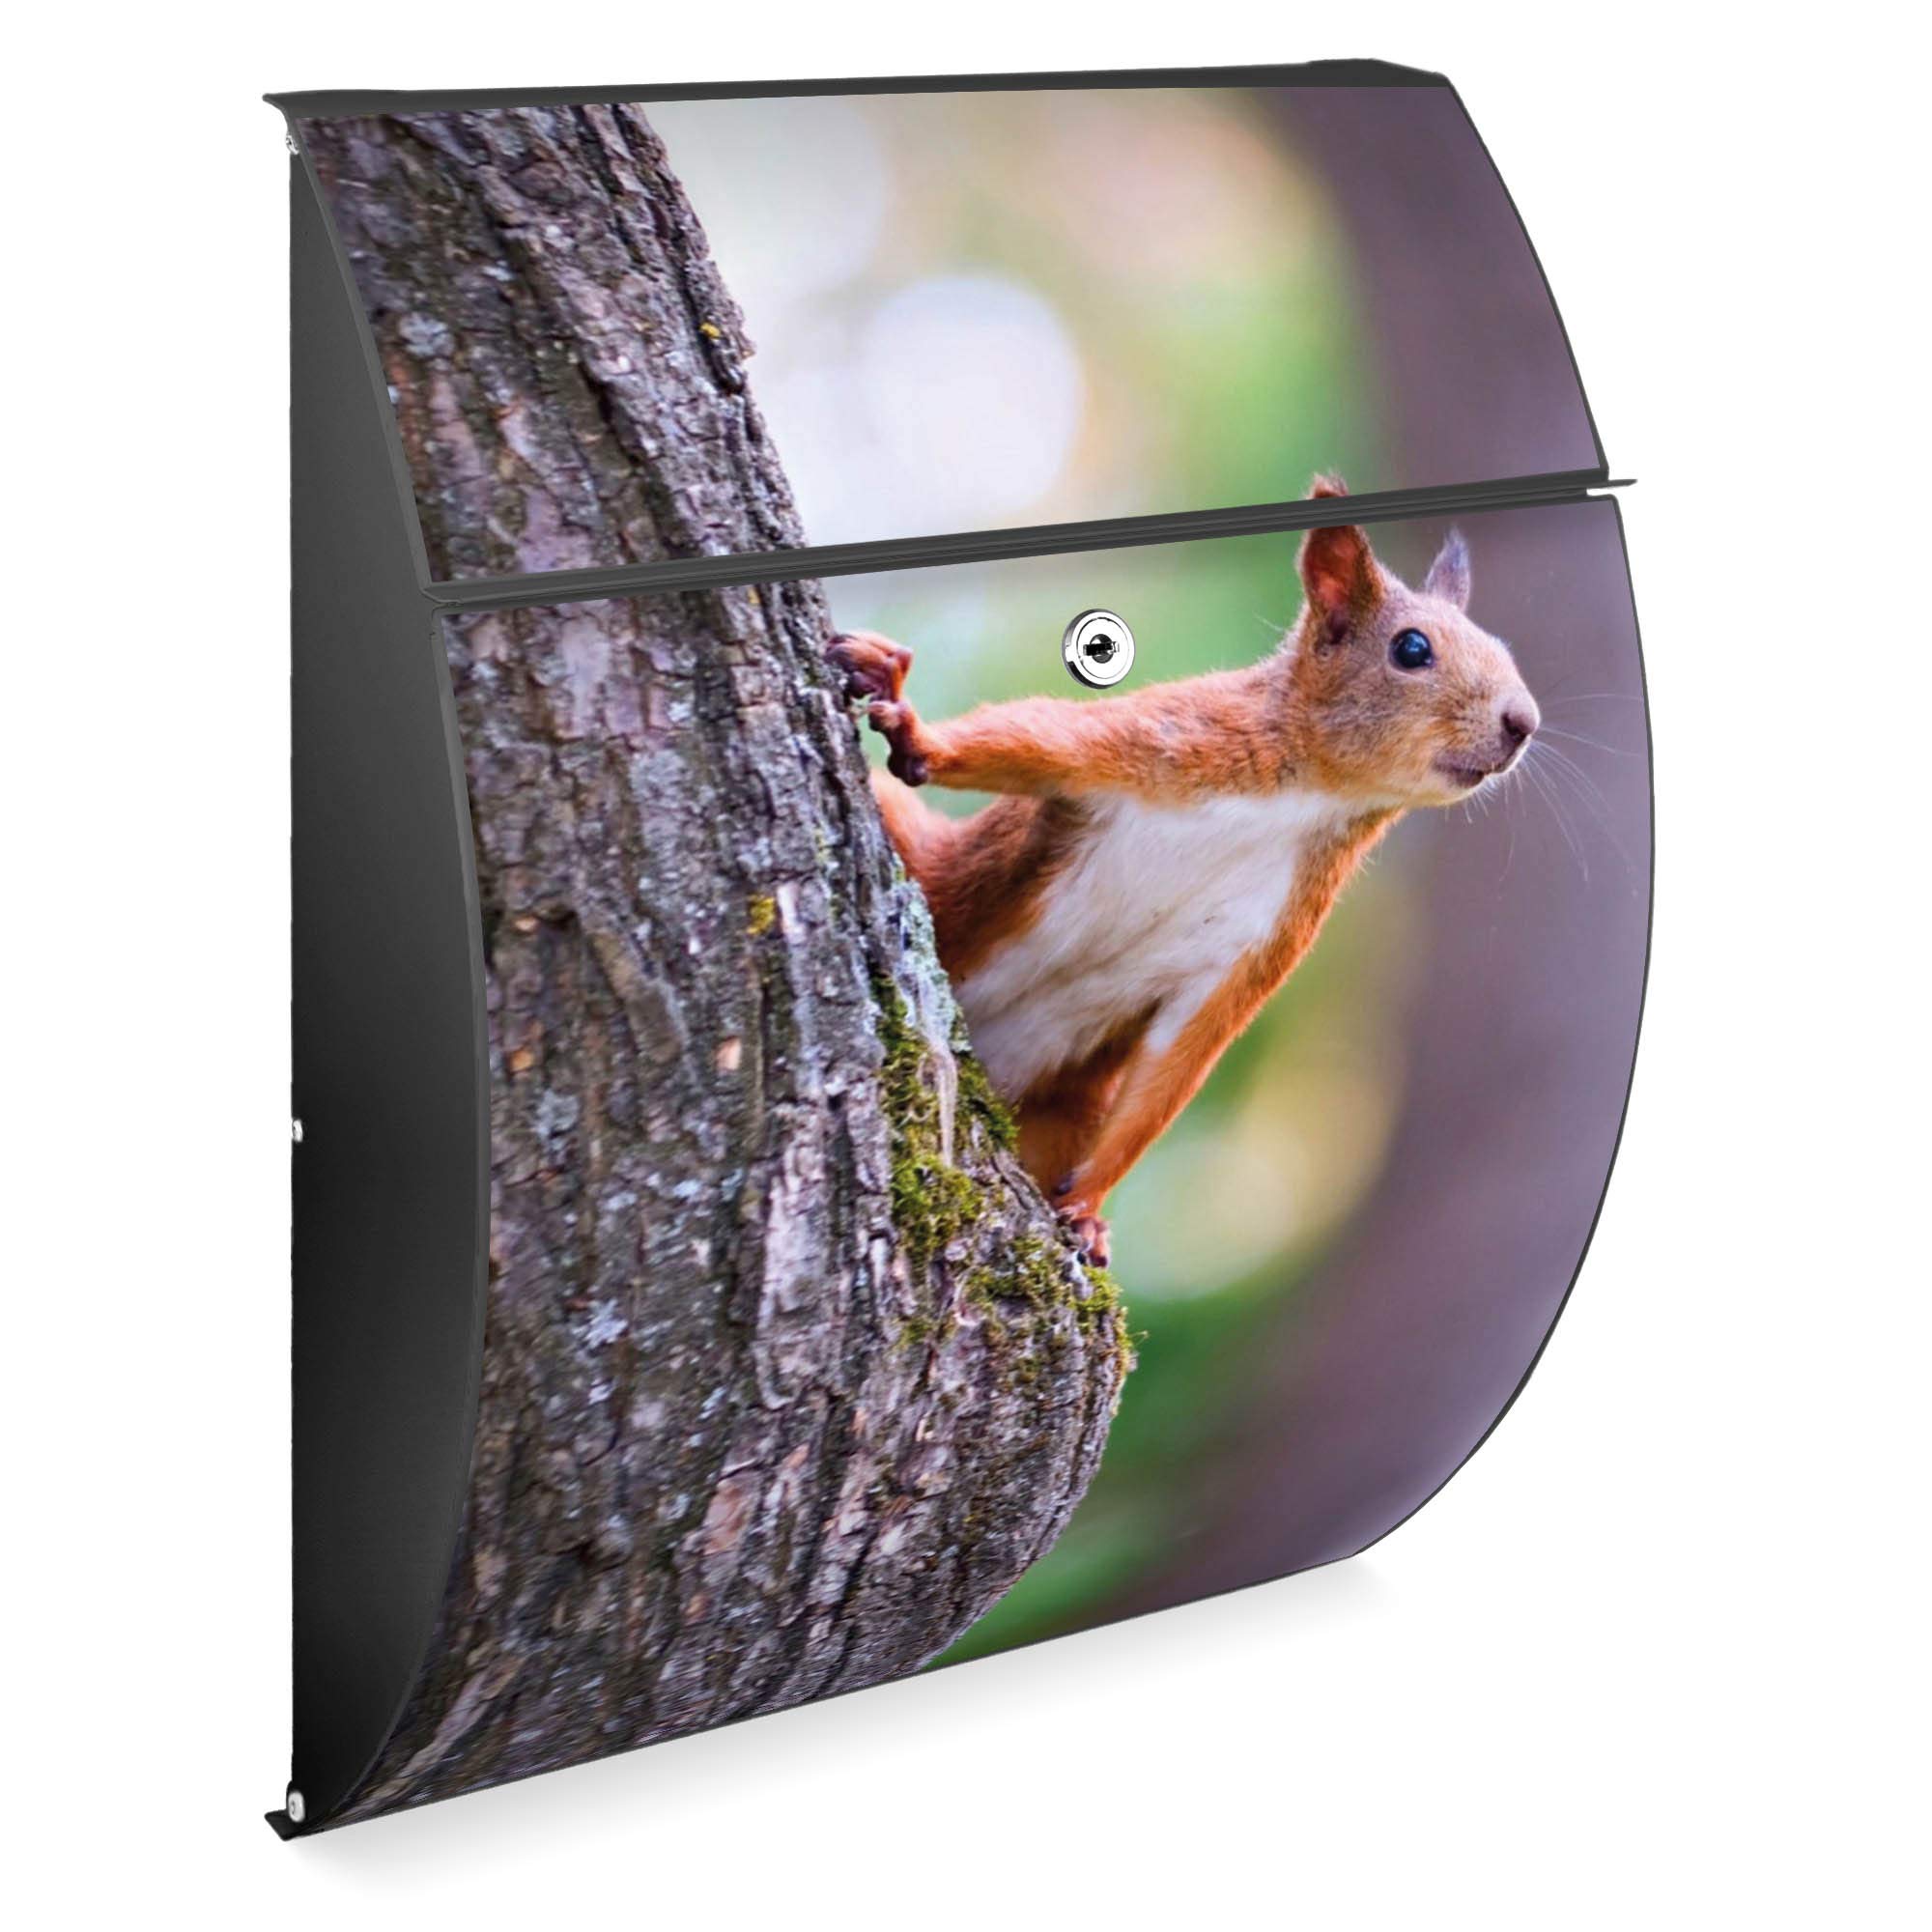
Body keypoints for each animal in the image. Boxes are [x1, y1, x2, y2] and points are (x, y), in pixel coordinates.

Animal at [829, 478, 1539, 1267]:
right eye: (1412, 648)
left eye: (1503, 649)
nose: (1523, 722)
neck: (1311, 796)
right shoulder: (1165, 740)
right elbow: (1035, 736)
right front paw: (915, 730)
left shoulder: (1267, 933)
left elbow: (1180, 1060)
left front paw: (1086, 1208)